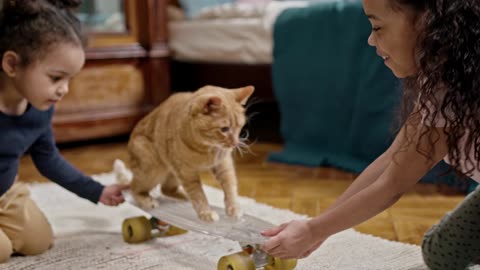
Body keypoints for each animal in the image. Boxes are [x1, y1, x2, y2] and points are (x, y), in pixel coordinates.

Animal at [125, 86, 253, 221]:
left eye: (240, 127)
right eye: (224, 129)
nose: (235, 143)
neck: (206, 149)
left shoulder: (223, 165)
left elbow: (230, 186)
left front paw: (233, 208)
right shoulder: (187, 173)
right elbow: (198, 194)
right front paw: (206, 212)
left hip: (172, 174)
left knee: (165, 189)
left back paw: (185, 197)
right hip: (153, 170)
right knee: (134, 187)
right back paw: (146, 201)